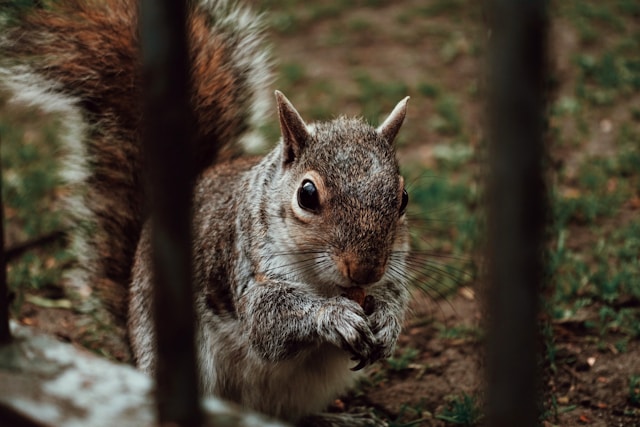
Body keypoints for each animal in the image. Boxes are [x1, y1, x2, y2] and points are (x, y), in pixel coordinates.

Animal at [0, 0, 410, 424]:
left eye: (404, 198)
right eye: (307, 195)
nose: (365, 269)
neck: (326, 282)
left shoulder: (393, 270)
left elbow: (394, 297)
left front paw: (386, 324)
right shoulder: (245, 264)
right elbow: (267, 323)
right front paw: (334, 315)